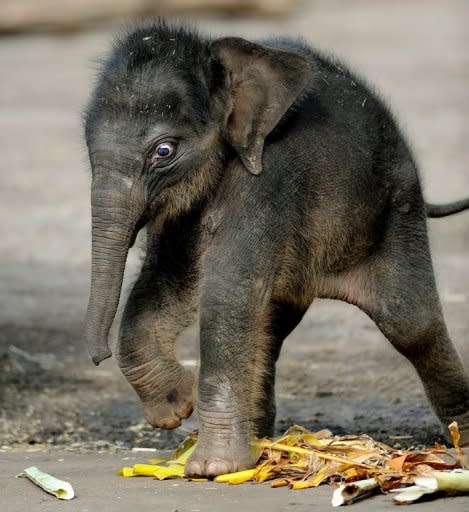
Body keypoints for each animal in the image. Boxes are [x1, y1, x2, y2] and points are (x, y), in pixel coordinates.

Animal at [83, 19, 468, 476]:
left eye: (163, 151)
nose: (98, 357)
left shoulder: (269, 177)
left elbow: (228, 290)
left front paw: (210, 468)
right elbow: (167, 277)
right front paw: (173, 409)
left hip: (396, 208)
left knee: (410, 322)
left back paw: (461, 437)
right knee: (271, 327)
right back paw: (261, 441)